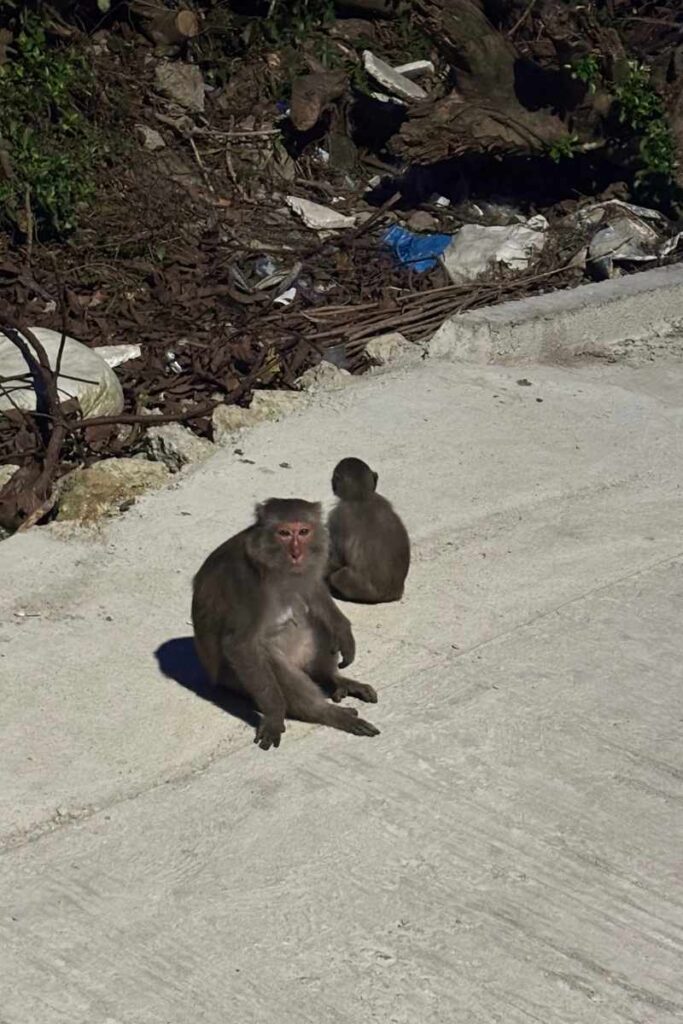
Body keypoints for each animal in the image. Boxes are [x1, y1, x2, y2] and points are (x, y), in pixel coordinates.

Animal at [191, 498, 379, 750]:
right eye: (284, 533)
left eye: (304, 531)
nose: (296, 553)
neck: (276, 569)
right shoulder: (244, 583)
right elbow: (239, 646)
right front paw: (274, 716)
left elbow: (313, 591)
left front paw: (342, 629)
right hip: (235, 680)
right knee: (268, 657)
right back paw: (324, 713)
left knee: (314, 619)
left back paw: (333, 678)